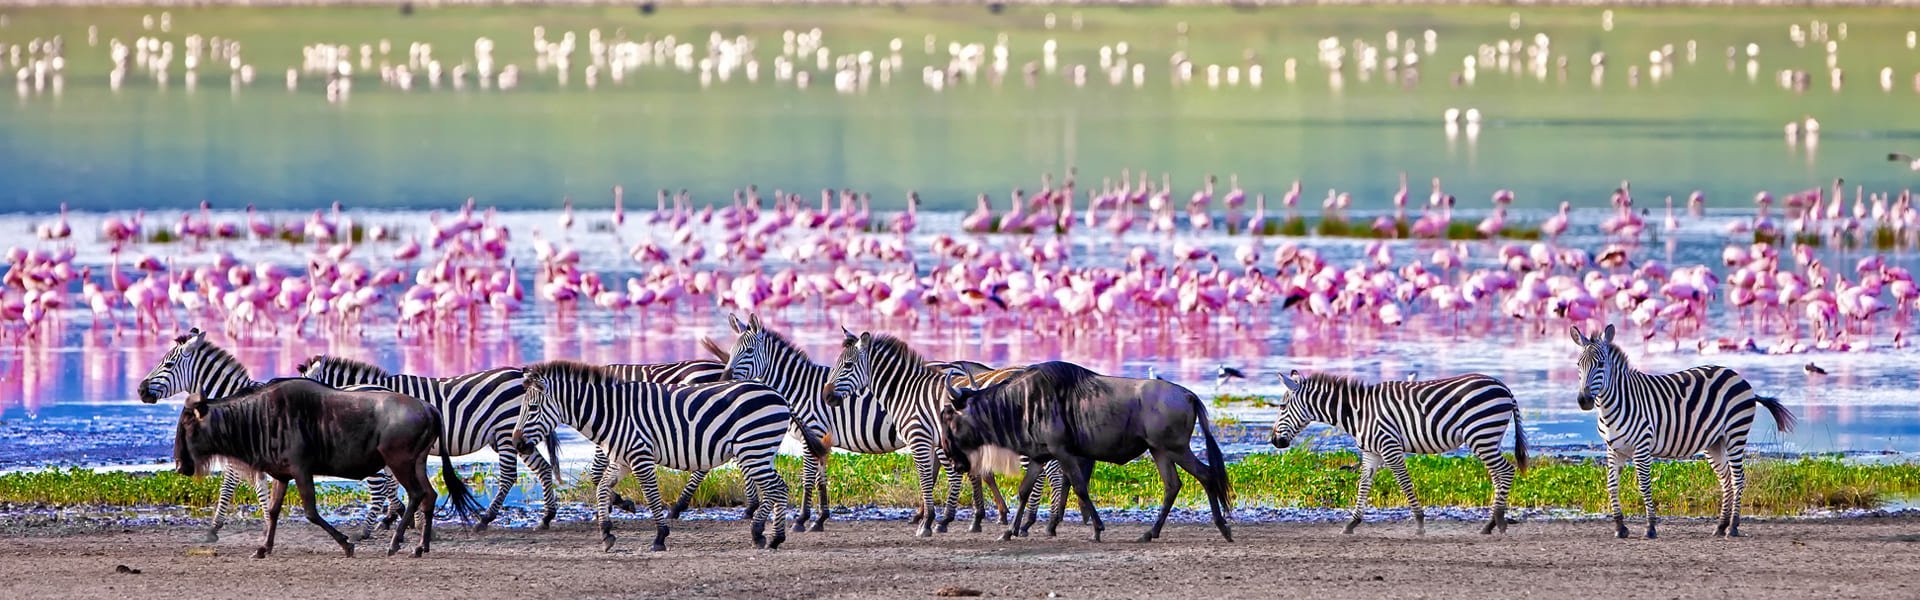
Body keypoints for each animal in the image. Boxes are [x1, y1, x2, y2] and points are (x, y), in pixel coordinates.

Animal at [136, 330, 401, 542]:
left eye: (168, 365)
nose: (140, 390)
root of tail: (384, 388)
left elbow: (233, 487)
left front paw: (233, 527)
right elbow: (250, 487)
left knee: (380, 486)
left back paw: (367, 530)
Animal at [295, 353, 560, 526]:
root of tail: (519, 375)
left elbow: (391, 482)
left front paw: (398, 515)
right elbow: (392, 482)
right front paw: (400, 514)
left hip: (506, 432)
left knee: (508, 476)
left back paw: (486, 519)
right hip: (514, 436)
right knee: (543, 468)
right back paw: (547, 515)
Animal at [506, 357, 798, 550]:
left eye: (532, 408)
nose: (516, 443)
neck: (613, 413)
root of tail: (777, 394)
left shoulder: (640, 456)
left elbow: (651, 495)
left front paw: (659, 537)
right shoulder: (622, 460)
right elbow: (602, 488)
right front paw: (606, 533)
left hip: (753, 448)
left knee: (777, 488)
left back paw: (771, 537)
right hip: (757, 450)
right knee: (776, 488)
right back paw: (764, 534)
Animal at [1274, 371, 1528, 534]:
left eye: (1282, 407)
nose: (1275, 441)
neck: (1358, 412)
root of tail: (1503, 387)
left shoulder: (1390, 447)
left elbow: (1404, 483)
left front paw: (1420, 523)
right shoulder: (1371, 452)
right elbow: (1363, 485)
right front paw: (1351, 524)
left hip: (1481, 434)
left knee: (1505, 470)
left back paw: (1496, 522)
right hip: (1488, 437)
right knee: (1498, 474)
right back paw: (1491, 524)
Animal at [1574, 325, 1797, 542]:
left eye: (1601, 364)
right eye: (1578, 365)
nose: (1584, 400)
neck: (1614, 404)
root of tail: (1737, 376)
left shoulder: (1642, 447)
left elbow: (1644, 486)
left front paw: (1650, 527)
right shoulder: (1614, 449)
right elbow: (1612, 485)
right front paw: (1620, 528)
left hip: (1736, 433)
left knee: (1738, 478)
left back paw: (1733, 527)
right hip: (1714, 442)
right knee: (1725, 479)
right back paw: (1721, 526)